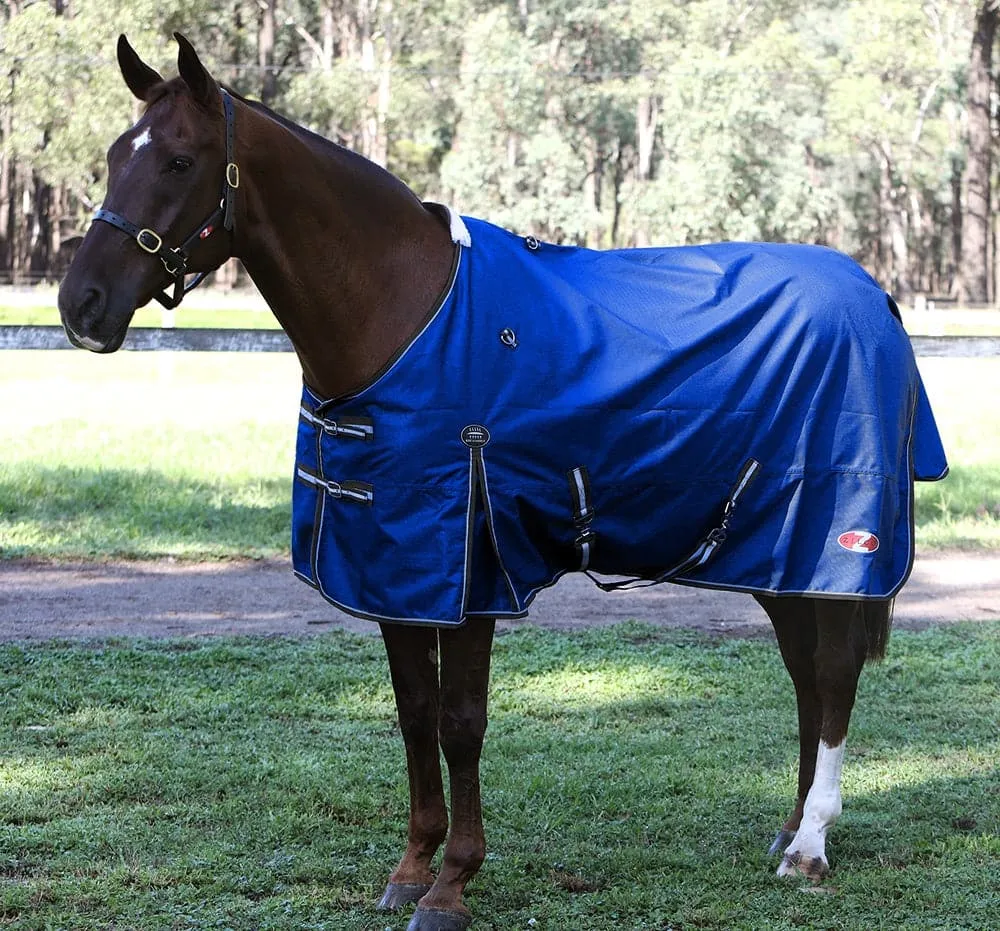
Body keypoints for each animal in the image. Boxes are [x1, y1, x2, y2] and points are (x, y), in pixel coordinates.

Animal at [58, 32, 932, 931]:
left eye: (179, 161)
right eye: (114, 155)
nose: (81, 304)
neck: (400, 313)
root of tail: (876, 294)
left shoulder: (473, 566)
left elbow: (460, 722)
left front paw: (452, 883)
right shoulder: (394, 566)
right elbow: (413, 714)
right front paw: (411, 866)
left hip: (834, 540)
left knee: (833, 673)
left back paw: (811, 845)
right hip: (777, 554)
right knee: (806, 672)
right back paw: (790, 828)